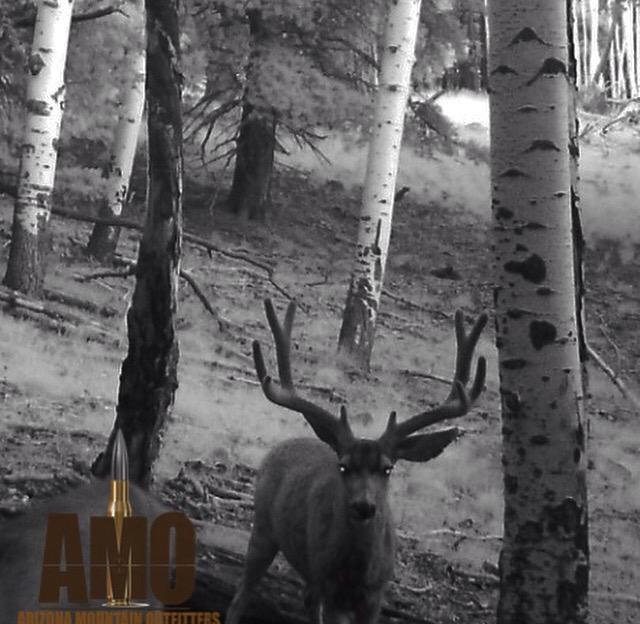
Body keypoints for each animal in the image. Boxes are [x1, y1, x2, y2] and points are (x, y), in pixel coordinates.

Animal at [226, 299, 487, 624]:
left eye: (387, 468)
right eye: (344, 466)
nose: (364, 506)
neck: (358, 573)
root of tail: (286, 443)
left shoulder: (375, 596)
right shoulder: (333, 592)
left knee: (307, 599)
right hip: (263, 527)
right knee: (242, 595)